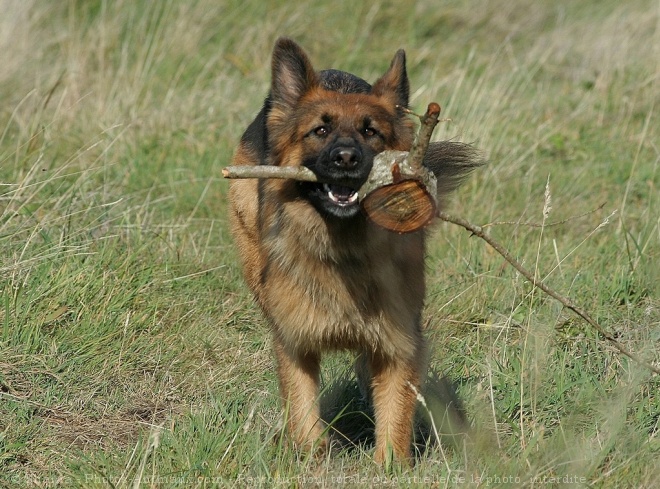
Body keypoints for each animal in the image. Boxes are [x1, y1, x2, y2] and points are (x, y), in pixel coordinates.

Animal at [229, 38, 476, 462]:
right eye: (320, 130)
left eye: (370, 131)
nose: (346, 158)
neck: (342, 252)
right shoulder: (295, 343)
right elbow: (303, 412)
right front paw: (310, 458)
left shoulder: (400, 344)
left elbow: (394, 417)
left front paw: (390, 466)